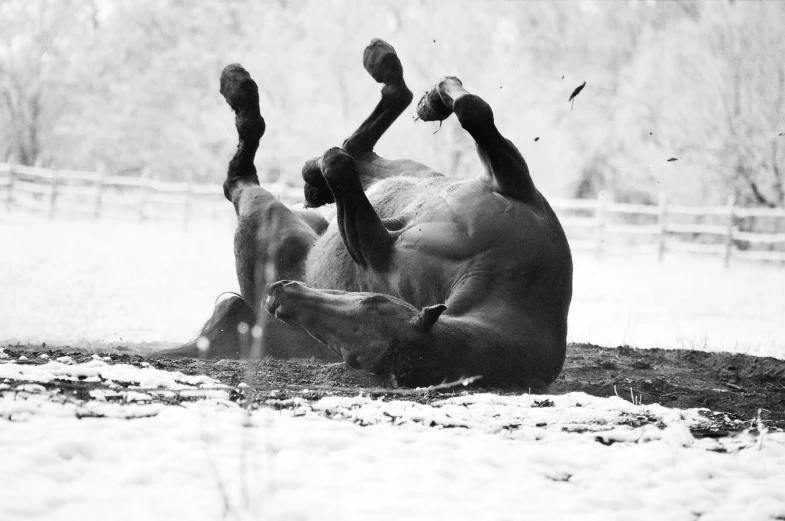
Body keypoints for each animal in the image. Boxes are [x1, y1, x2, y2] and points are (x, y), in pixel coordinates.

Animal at [164, 38, 568, 388]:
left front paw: (325, 169)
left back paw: (241, 90)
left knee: (242, 178)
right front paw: (442, 93)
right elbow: (473, 110)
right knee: (369, 141)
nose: (278, 297)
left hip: (267, 220)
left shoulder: (375, 251)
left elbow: (340, 166)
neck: (502, 268)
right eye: (369, 302)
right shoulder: (513, 181)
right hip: (414, 173)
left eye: (353, 353)